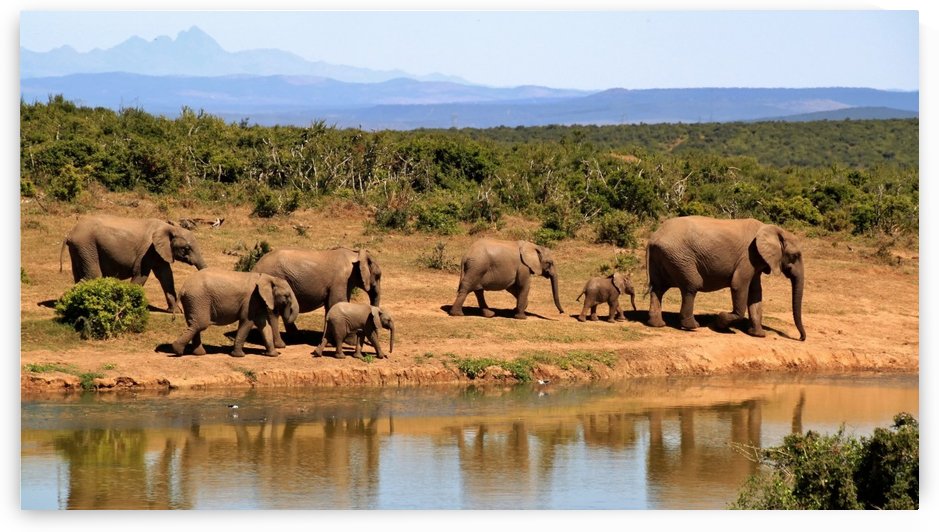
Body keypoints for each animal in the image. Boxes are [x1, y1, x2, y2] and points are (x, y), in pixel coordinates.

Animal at [60, 215, 207, 311]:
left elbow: (166, 276)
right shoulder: (148, 251)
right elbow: (141, 275)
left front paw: (175, 312)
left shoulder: (160, 252)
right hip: (86, 245)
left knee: (80, 275)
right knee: (93, 275)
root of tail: (70, 234)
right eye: (186, 248)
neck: (169, 227)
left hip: (80, 249)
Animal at [171, 269, 299, 357]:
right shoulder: (250, 300)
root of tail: (183, 288)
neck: (267, 277)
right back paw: (177, 350)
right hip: (198, 299)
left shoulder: (257, 301)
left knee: (194, 324)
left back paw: (199, 353)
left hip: (193, 301)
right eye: (286, 296)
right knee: (200, 324)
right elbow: (247, 322)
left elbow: (264, 325)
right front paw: (239, 356)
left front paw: (273, 355)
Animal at [251, 247, 382, 347]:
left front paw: (330, 343)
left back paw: (296, 337)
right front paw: (350, 343)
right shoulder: (341, 280)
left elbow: (331, 306)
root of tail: (255, 267)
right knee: (273, 312)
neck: (355, 254)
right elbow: (337, 302)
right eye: (378, 275)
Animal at [645, 215, 806, 341]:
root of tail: (653, 238)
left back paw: (657, 324)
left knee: (658, 288)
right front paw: (720, 322)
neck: (772, 229)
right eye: (795, 255)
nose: (800, 338)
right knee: (692, 285)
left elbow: (756, 293)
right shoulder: (748, 257)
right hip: (680, 257)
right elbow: (739, 285)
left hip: (664, 257)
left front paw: (758, 335)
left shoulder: (756, 261)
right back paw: (692, 326)